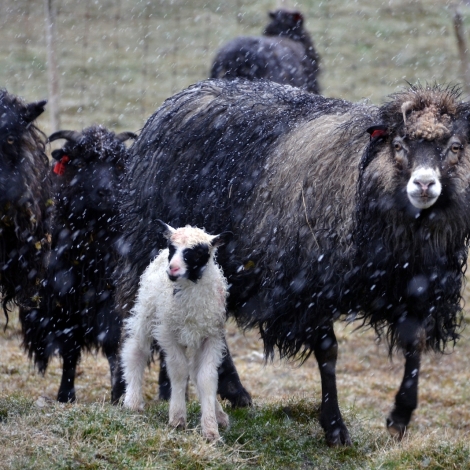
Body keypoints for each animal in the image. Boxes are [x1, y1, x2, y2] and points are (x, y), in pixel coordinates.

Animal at [21, 125, 137, 404]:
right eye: (82, 163)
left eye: (118, 165)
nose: (106, 193)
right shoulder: (63, 301)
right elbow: (70, 348)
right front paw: (65, 394)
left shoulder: (111, 297)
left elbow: (112, 343)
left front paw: (118, 393)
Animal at [121, 220, 231, 440]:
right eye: (173, 248)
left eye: (198, 252)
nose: (172, 269)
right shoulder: (167, 333)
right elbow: (179, 370)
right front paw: (178, 418)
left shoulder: (211, 337)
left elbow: (206, 377)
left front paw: (211, 429)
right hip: (146, 312)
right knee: (136, 350)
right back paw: (133, 401)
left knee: (196, 371)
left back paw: (220, 415)